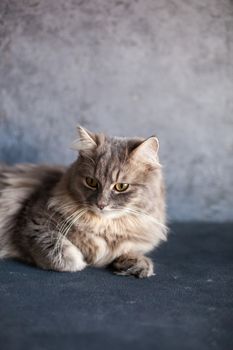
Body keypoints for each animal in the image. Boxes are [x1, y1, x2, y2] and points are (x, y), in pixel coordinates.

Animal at [0, 127, 167, 278]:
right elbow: (60, 251)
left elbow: (128, 252)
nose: (101, 204)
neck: (106, 227)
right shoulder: (33, 223)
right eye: (91, 182)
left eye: (121, 186)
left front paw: (138, 266)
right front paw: (81, 262)